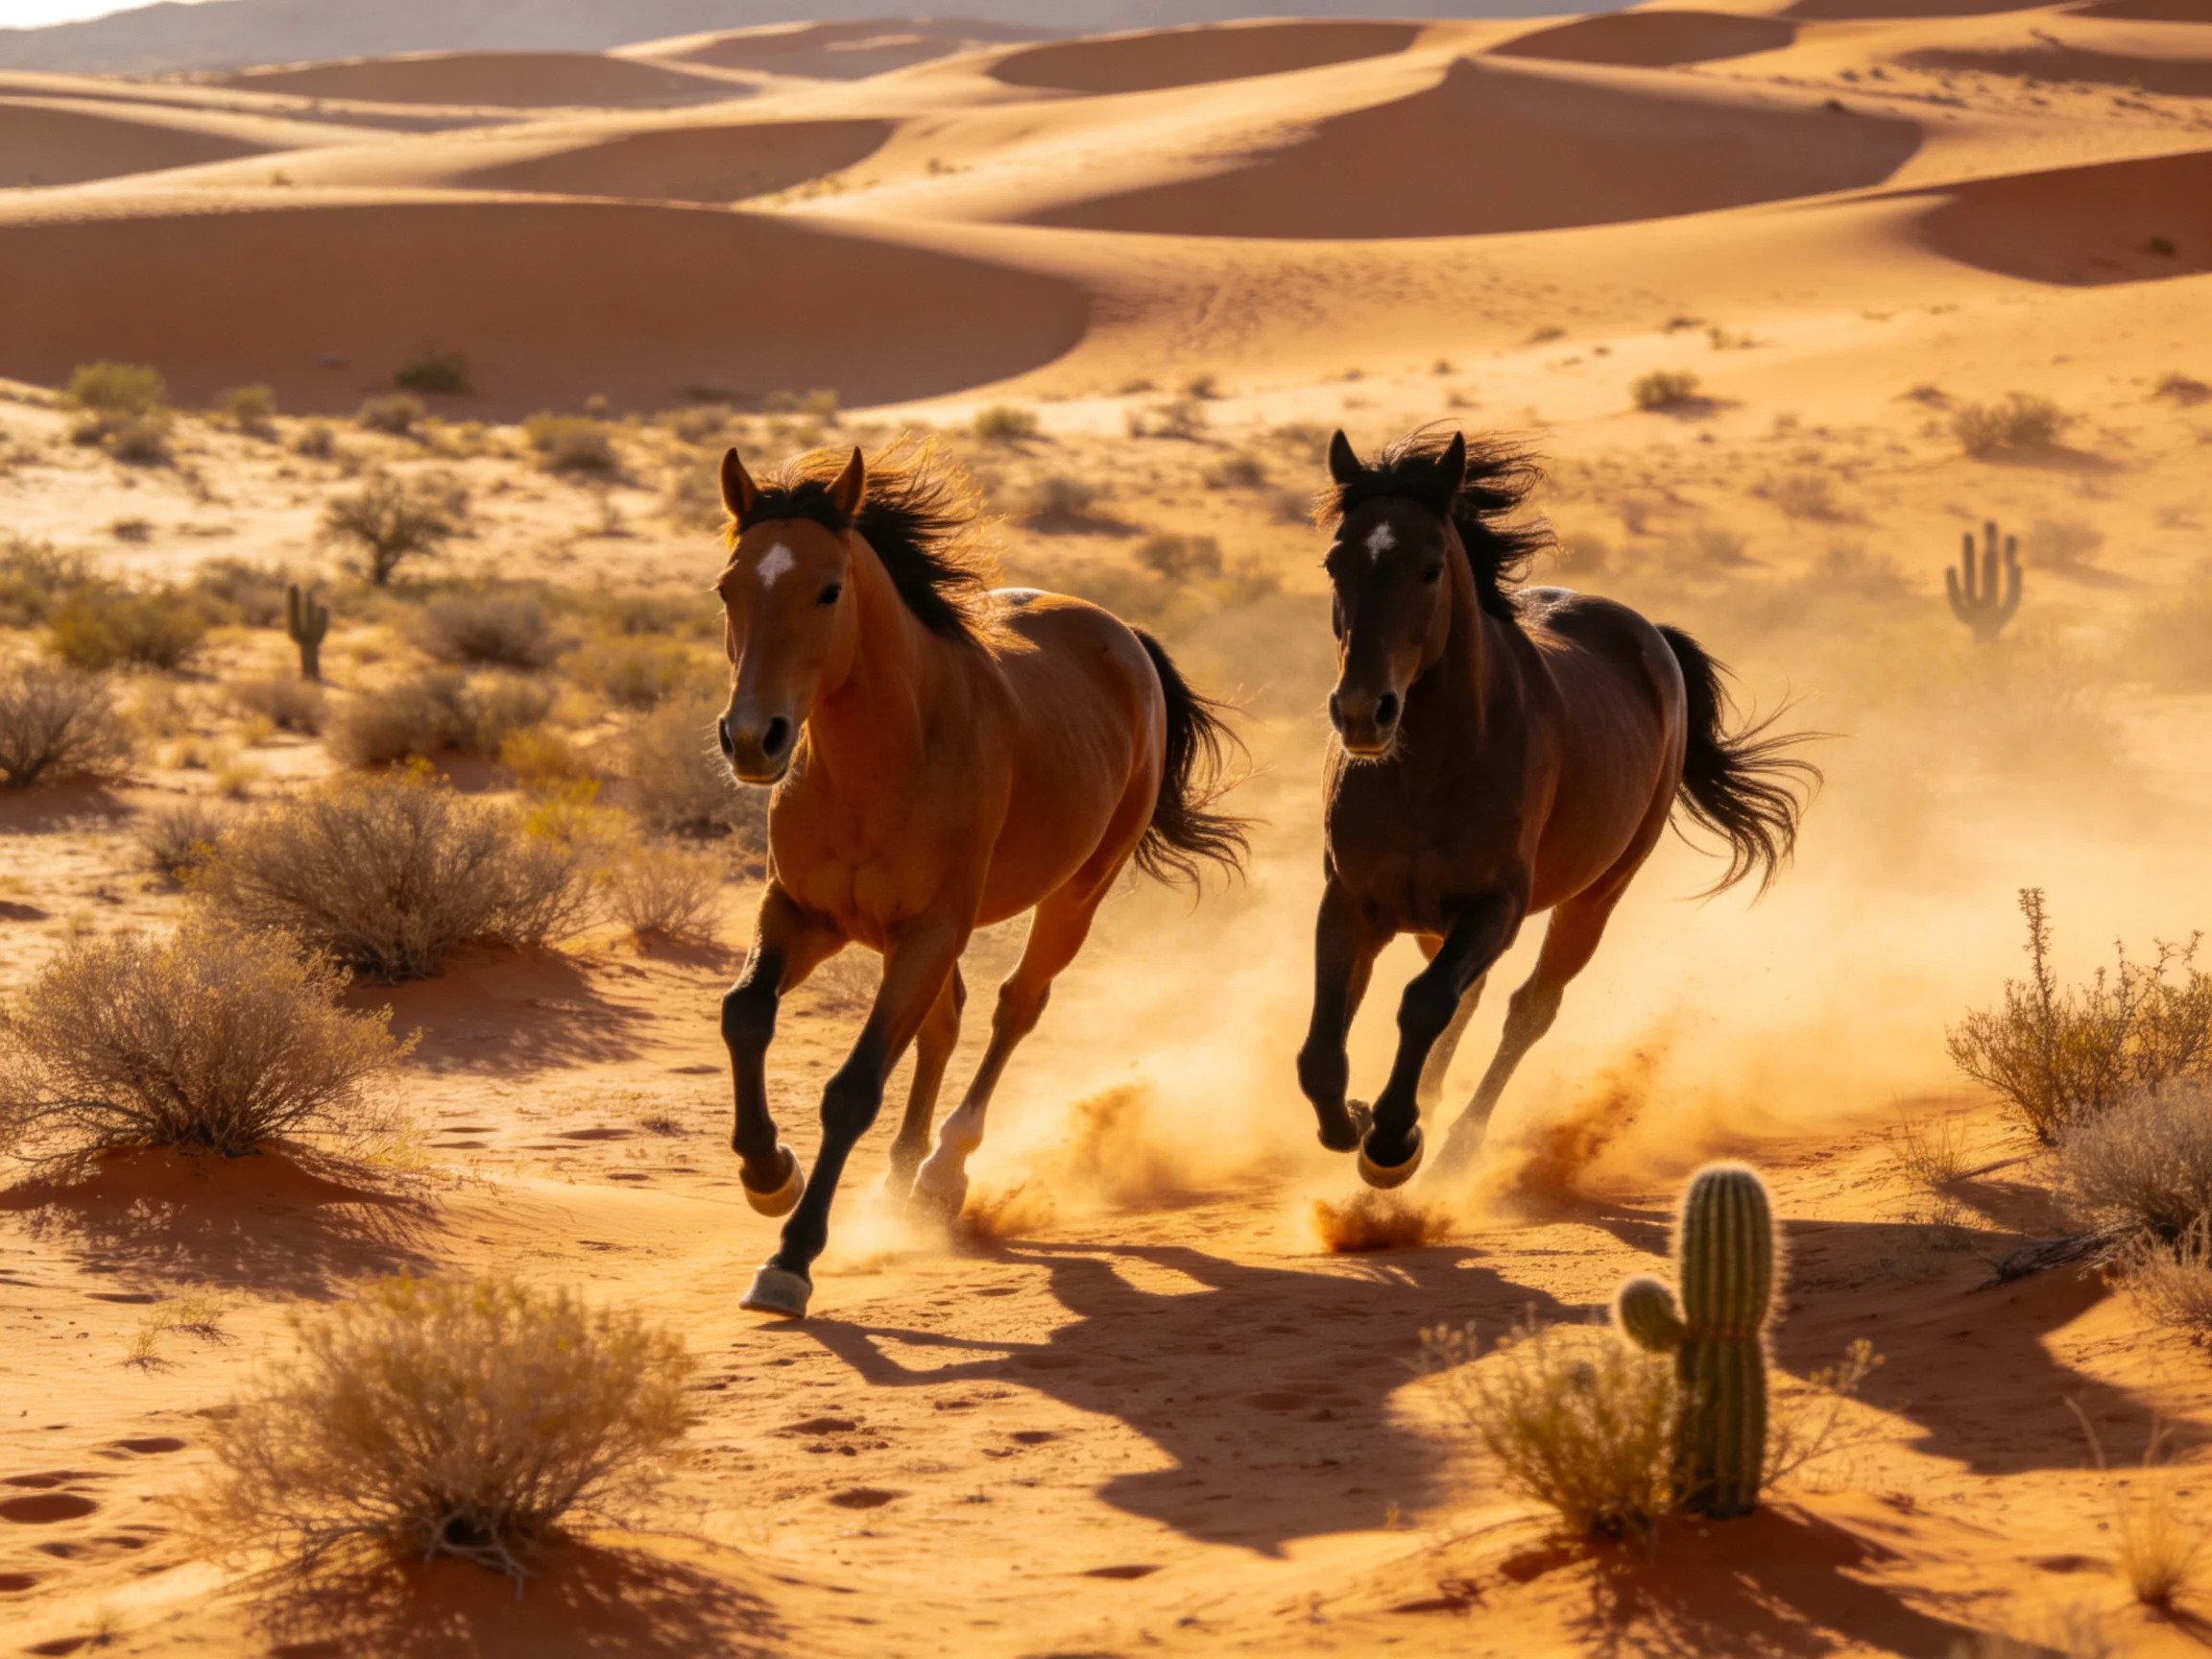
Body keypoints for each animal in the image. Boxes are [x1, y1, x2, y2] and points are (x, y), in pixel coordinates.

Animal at [712, 439, 1246, 1318]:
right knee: (948, 1019)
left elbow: (853, 1088)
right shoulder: (801, 914)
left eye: (828, 590)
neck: (881, 762)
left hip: (1073, 896)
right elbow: (744, 1016)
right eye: (728, 588)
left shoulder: (927, 931)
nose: (755, 739)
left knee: (1014, 1008)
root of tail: (1121, 634)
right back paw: (898, 1187)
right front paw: (769, 1173)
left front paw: (791, 1258)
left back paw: (940, 1175)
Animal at [1295, 427, 1819, 1187]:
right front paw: (1355, 1123)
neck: (1429, 769)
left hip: (1597, 895)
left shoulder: (1497, 907)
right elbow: (1321, 1049)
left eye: (1430, 567)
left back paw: (1458, 1146)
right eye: (1335, 562)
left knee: (1528, 1009)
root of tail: (1648, 636)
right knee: (1471, 1003)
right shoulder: (1350, 901)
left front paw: (1392, 1142)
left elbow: (1424, 1004)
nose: (1364, 712)